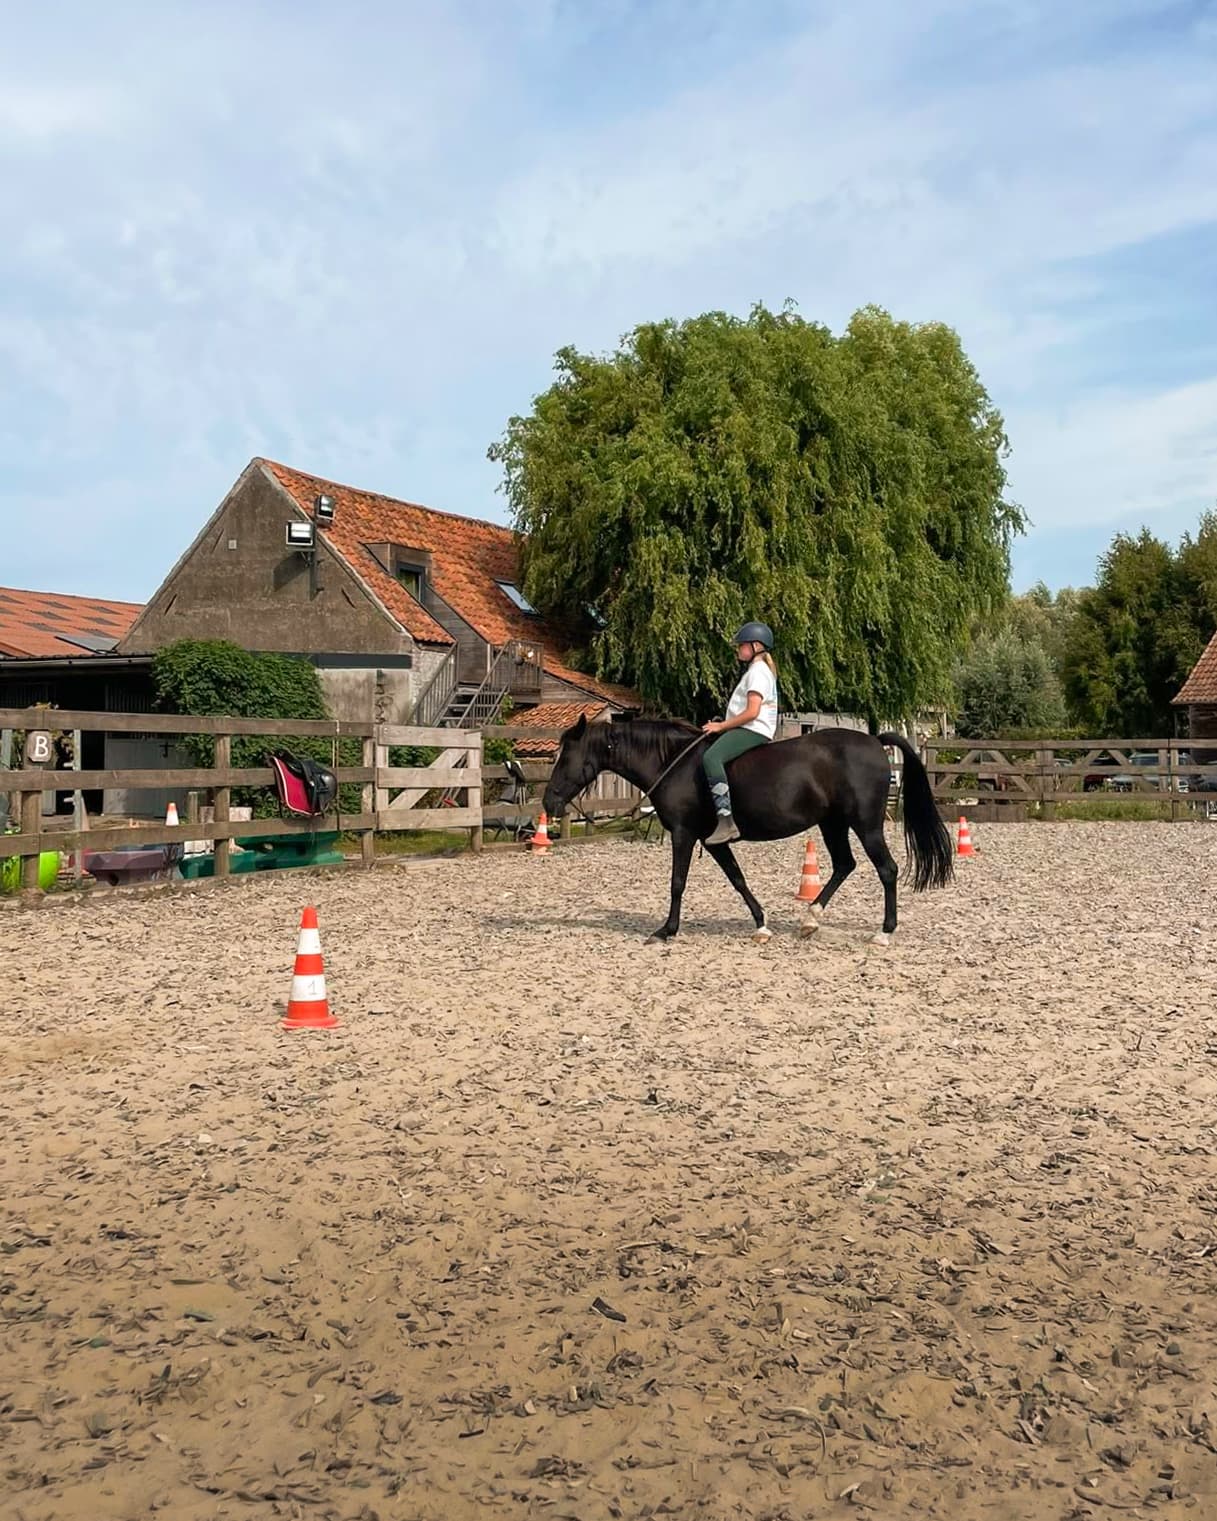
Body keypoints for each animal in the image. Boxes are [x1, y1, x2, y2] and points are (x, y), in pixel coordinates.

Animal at [542, 715, 953, 945]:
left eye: (565, 757)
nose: (547, 803)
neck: (673, 763)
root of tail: (874, 741)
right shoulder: (713, 841)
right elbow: (737, 879)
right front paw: (761, 924)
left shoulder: (683, 834)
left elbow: (677, 882)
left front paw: (666, 930)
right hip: (832, 823)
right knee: (844, 865)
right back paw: (810, 920)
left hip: (865, 825)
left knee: (887, 870)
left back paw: (884, 932)